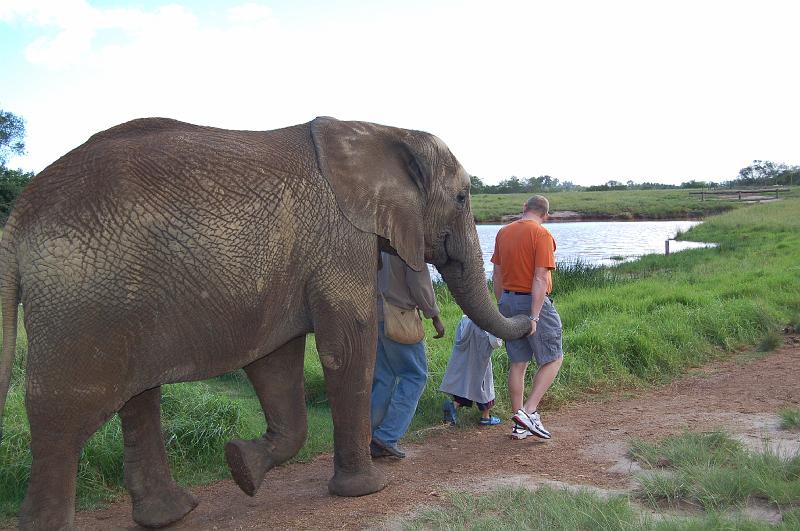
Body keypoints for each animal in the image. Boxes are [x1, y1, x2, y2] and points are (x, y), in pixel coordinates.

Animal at [0, 116, 530, 529]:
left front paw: (242, 467)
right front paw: (367, 490)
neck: (379, 129)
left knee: (138, 399)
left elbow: (276, 364)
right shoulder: (340, 238)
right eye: (462, 198)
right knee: (64, 416)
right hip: (81, 305)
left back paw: (173, 514)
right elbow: (347, 346)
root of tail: (17, 218)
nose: (527, 317)